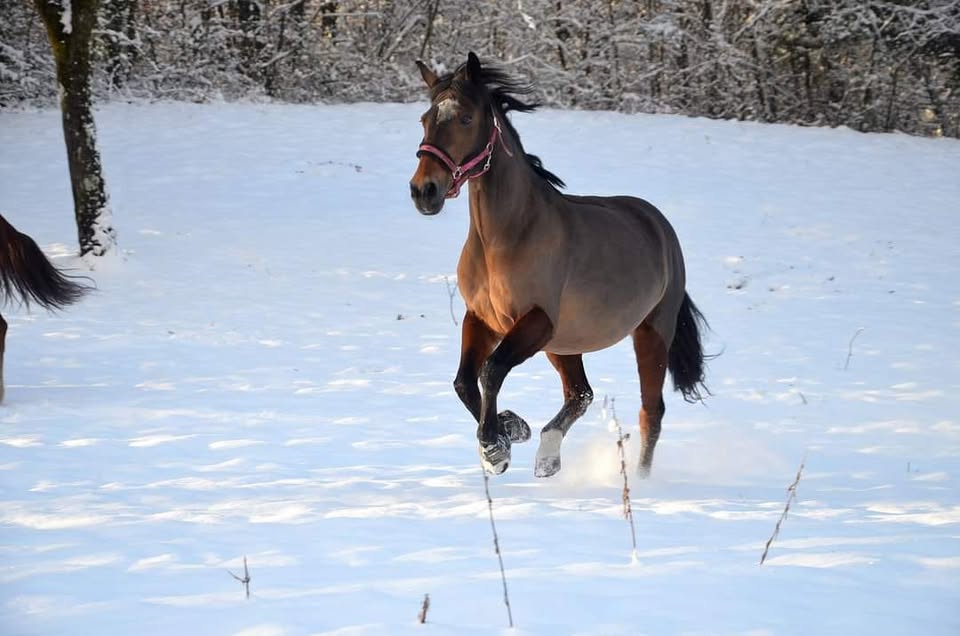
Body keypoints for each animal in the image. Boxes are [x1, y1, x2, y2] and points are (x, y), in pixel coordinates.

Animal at [409, 52, 708, 477]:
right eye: (425, 118)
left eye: (465, 118)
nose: (424, 191)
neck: (505, 237)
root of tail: (659, 225)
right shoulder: (481, 319)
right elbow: (464, 381)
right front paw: (511, 428)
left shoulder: (537, 321)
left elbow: (490, 371)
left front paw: (494, 447)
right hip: (566, 343)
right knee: (580, 393)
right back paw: (548, 456)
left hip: (650, 333)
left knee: (651, 412)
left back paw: (640, 478)